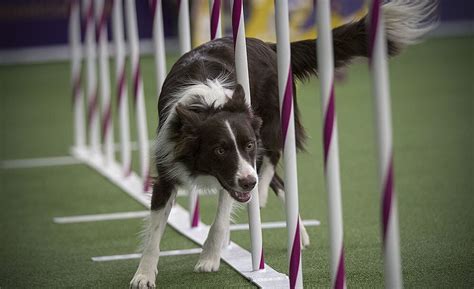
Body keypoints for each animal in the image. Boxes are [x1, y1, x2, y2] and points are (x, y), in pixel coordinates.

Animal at [130, 1, 434, 286]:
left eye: (247, 144)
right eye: (219, 150)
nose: (248, 183)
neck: (210, 106)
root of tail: (269, 45)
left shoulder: (242, 165)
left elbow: (220, 219)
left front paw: (209, 257)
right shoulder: (172, 165)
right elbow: (154, 233)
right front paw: (143, 275)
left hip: (275, 118)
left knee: (273, 157)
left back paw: (265, 192)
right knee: (278, 178)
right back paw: (293, 224)